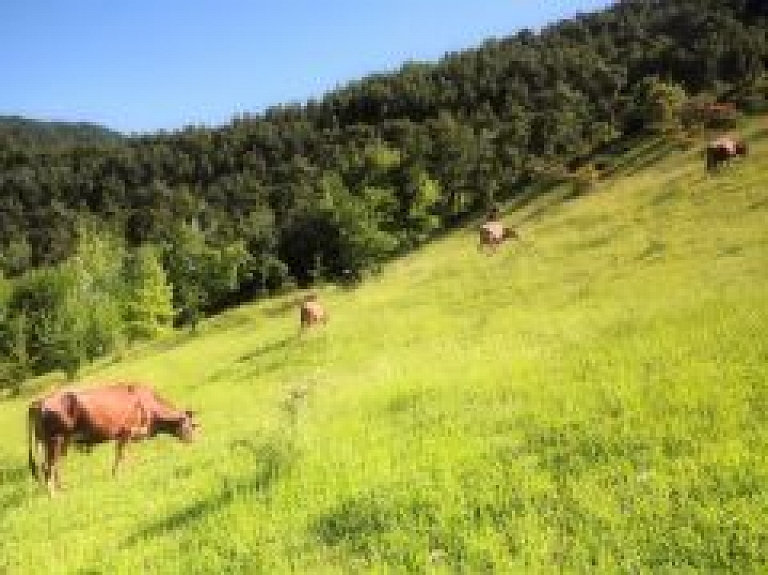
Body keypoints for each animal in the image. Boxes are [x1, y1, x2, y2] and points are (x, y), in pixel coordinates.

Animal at [27, 382, 198, 496]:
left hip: (56, 443)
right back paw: (53, 495)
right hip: (55, 440)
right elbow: (121, 455)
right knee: (48, 467)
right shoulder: (126, 432)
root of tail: (39, 401)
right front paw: (118, 475)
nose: (194, 441)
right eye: (192, 425)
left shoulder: (124, 436)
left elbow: (124, 455)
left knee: (54, 465)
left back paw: (62, 488)